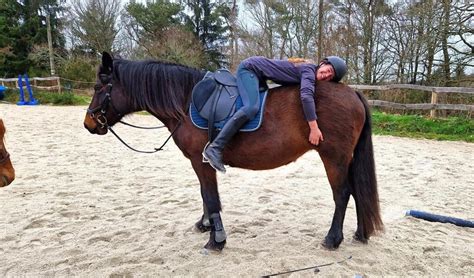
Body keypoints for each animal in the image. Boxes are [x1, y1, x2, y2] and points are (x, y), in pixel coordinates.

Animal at [83, 51, 384, 250]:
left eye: (98, 86)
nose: (88, 123)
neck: (186, 100)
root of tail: (353, 92)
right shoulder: (200, 163)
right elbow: (204, 195)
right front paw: (205, 224)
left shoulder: (201, 161)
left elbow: (211, 197)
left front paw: (216, 240)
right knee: (358, 191)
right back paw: (360, 234)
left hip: (334, 158)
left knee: (343, 194)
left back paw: (333, 239)